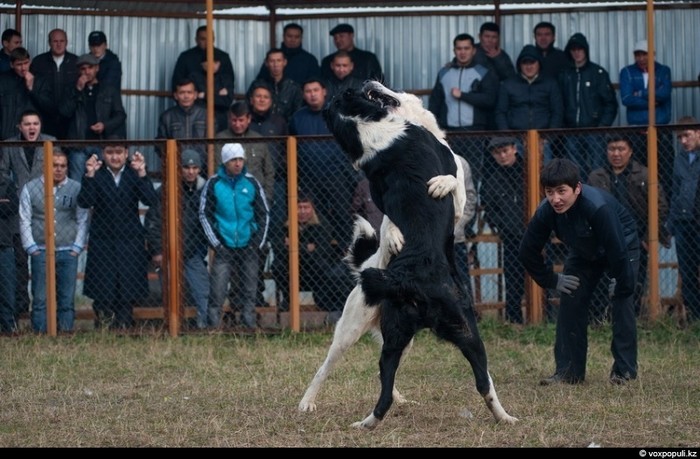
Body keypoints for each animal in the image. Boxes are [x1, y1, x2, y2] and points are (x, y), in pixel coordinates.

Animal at [298, 81, 516, 430]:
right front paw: (396, 235)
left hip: (417, 336)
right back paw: (310, 403)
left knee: (395, 381)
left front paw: (437, 186)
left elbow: (446, 185)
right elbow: (395, 218)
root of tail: (410, 279)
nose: (370, 82)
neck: (371, 130)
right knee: (329, 366)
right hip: (353, 329)